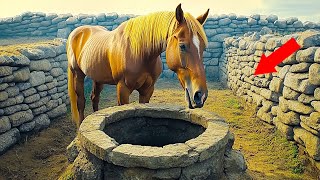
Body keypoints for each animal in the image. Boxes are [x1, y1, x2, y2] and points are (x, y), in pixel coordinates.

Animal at [67, 4, 210, 128]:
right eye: (182, 46)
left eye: (203, 47)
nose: (200, 96)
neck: (140, 53)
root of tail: (78, 32)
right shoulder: (123, 89)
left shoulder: (147, 90)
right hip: (77, 74)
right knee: (81, 102)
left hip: (98, 78)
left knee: (94, 98)